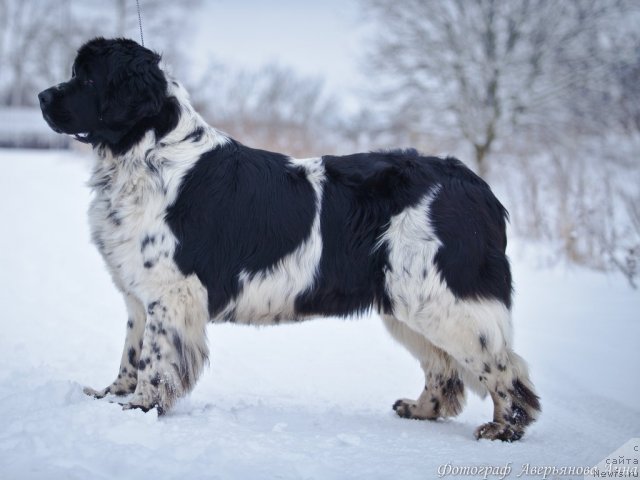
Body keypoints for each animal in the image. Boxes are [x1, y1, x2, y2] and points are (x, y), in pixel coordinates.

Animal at [38, 39, 540, 440]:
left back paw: (504, 428)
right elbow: (132, 350)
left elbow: (156, 359)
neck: (143, 154)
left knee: (504, 365)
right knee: (445, 369)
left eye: (85, 77)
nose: (42, 96)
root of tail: (475, 185)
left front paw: (140, 407)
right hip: (408, 303)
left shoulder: (172, 292)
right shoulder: (140, 297)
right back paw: (420, 410)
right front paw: (111, 396)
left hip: (444, 300)